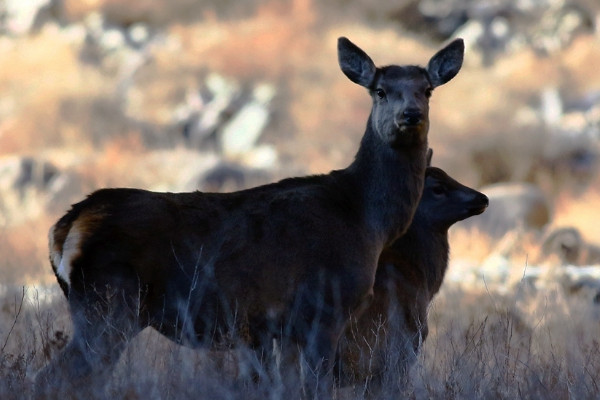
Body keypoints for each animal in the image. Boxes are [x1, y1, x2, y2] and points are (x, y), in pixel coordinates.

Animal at [36, 37, 464, 400]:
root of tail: (65, 227)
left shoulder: (281, 328)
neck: (367, 220)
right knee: (55, 376)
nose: (410, 115)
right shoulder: (324, 309)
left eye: (427, 89)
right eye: (380, 90)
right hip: (109, 301)